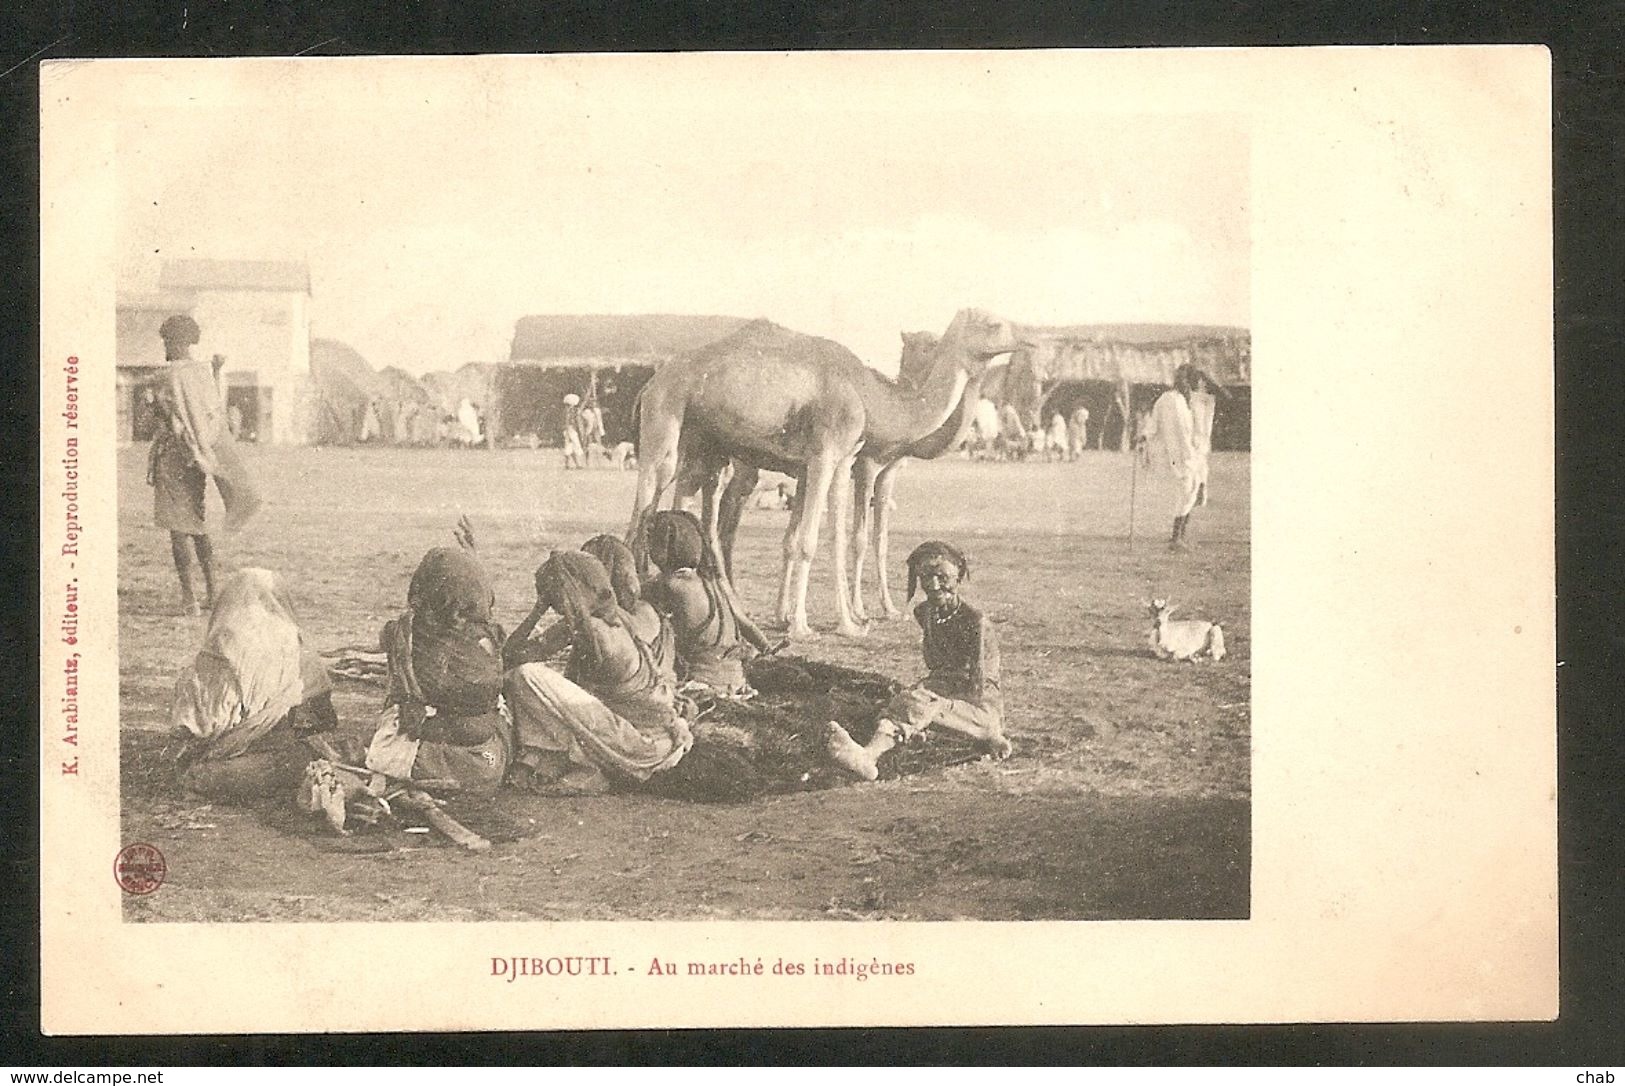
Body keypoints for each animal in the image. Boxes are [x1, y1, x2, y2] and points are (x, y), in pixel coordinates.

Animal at [627, 308, 1020, 637]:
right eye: (993, 324)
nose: (1024, 338)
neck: (872, 397)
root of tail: (651, 382)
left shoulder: (840, 460)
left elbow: (833, 539)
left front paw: (847, 623)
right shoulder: (827, 457)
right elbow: (810, 542)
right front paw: (803, 625)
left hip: (703, 446)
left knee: (689, 508)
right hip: (665, 421)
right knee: (646, 506)